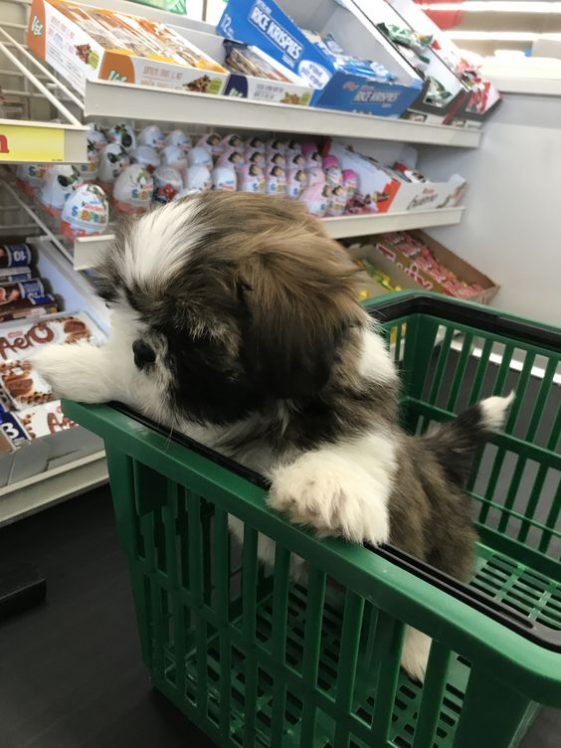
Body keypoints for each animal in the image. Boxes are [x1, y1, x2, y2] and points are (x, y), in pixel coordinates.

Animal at [32, 191, 516, 676]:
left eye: (194, 337)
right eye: (132, 311)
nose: (141, 350)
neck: (260, 411)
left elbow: (360, 449)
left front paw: (326, 484)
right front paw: (77, 365)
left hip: (446, 546)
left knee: (420, 614)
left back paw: (418, 653)